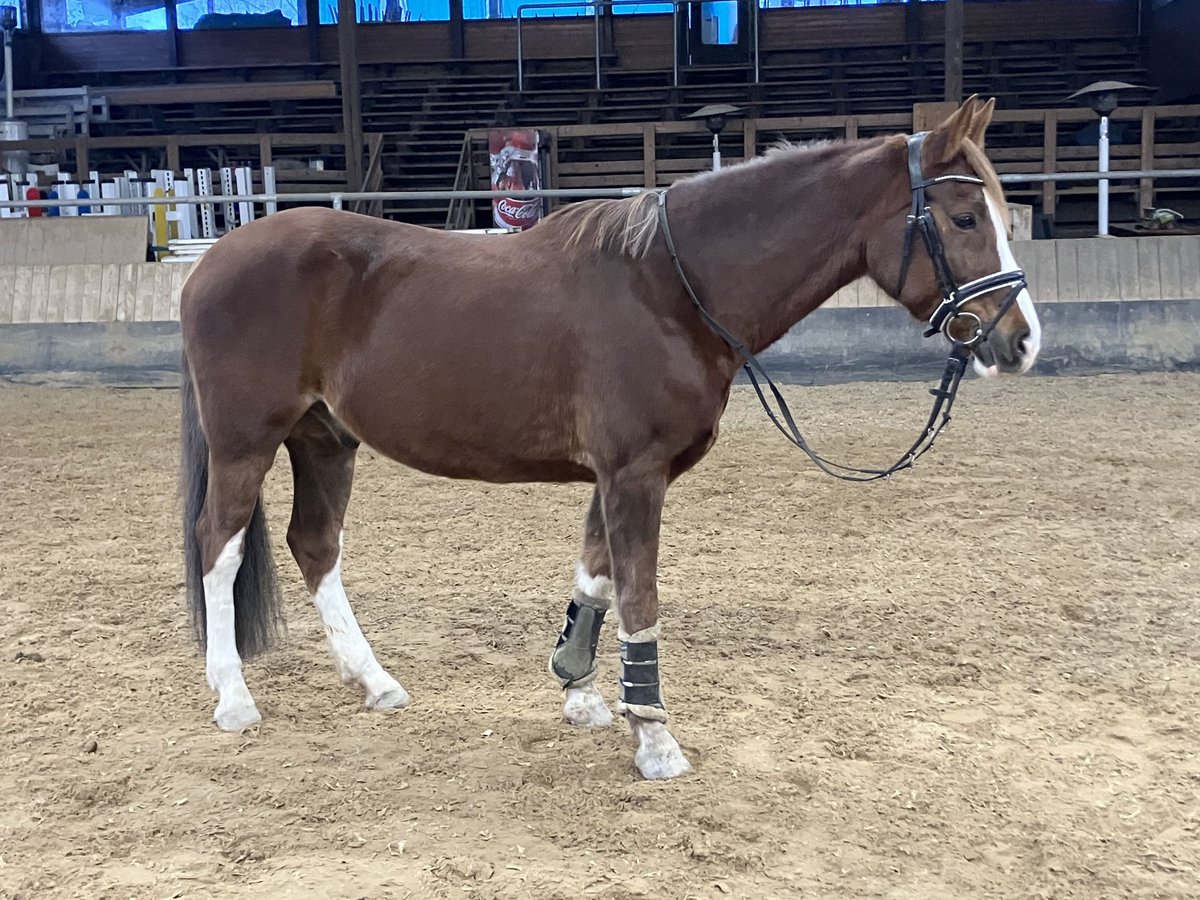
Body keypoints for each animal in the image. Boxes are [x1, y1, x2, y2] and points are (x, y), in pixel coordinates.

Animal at [177, 95, 1041, 777]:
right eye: (964, 217)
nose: (1022, 341)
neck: (668, 287)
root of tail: (212, 261)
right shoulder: (634, 473)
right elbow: (638, 598)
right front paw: (655, 739)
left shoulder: (614, 476)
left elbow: (593, 580)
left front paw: (582, 689)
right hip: (247, 442)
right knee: (219, 545)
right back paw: (233, 696)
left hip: (325, 439)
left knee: (315, 544)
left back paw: (375, 682)